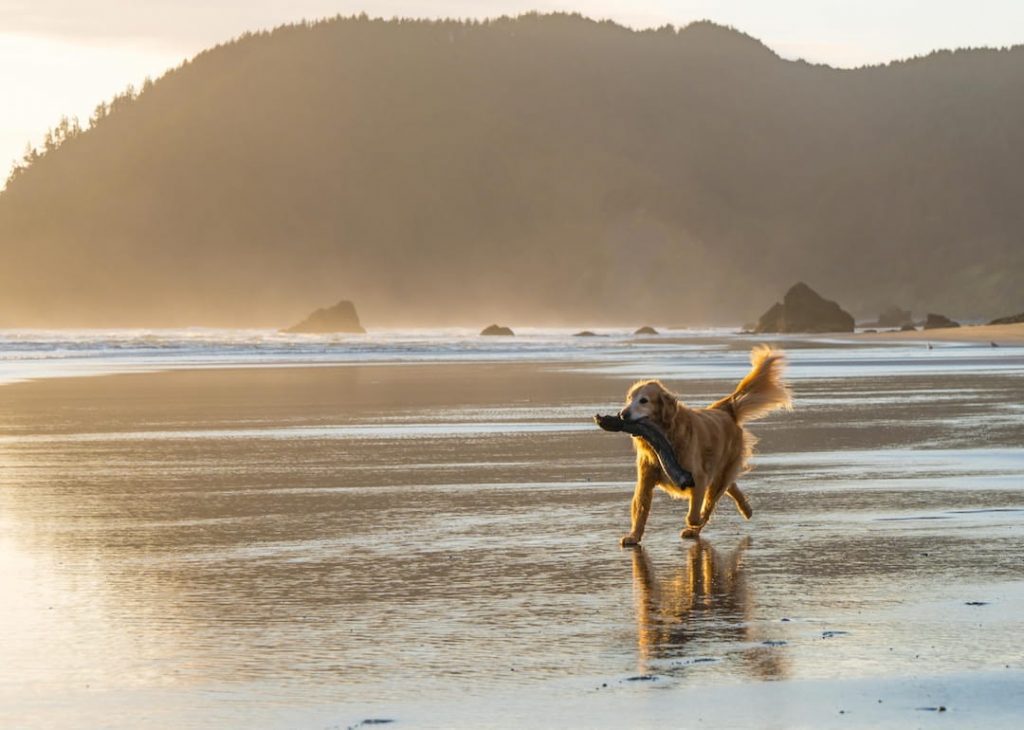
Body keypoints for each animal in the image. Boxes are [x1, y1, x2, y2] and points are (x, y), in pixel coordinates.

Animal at [614, 344, 790, 544]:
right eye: (629, 399)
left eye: (643, 400)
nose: (623, 414)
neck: (666, 437)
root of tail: (724, 409)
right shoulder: (645, 479)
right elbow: (640, 509)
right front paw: (634, 536)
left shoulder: (698, 477)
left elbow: (694, 513)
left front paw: (695, 522)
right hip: (720, 472)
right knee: (729, 486)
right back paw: (746, 509)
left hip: (719, 471)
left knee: (714, 497)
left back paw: (700, 525)